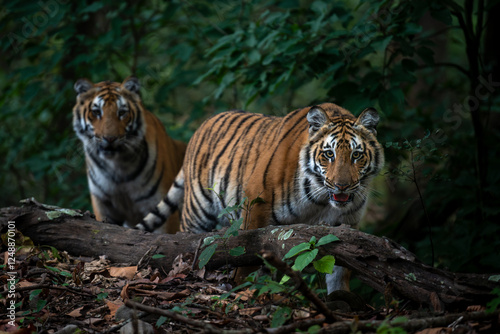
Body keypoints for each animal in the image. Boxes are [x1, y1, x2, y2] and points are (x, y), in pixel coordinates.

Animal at [72, 76, 186, 234]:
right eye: (96, 112)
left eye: (122, 112)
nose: (110, 138)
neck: (118, 166)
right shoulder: (103, 206)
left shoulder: (163, 211)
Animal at [139, 102, 384, 292]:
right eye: (329, 154)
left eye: (356, 155)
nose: (342, 186)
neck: (321, 201)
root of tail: (202, 126)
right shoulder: (256, 203)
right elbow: (247, 257)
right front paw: (241, 289)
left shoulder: (345, 226)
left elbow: (340, 271)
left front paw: (339, 301)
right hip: (197, 213)